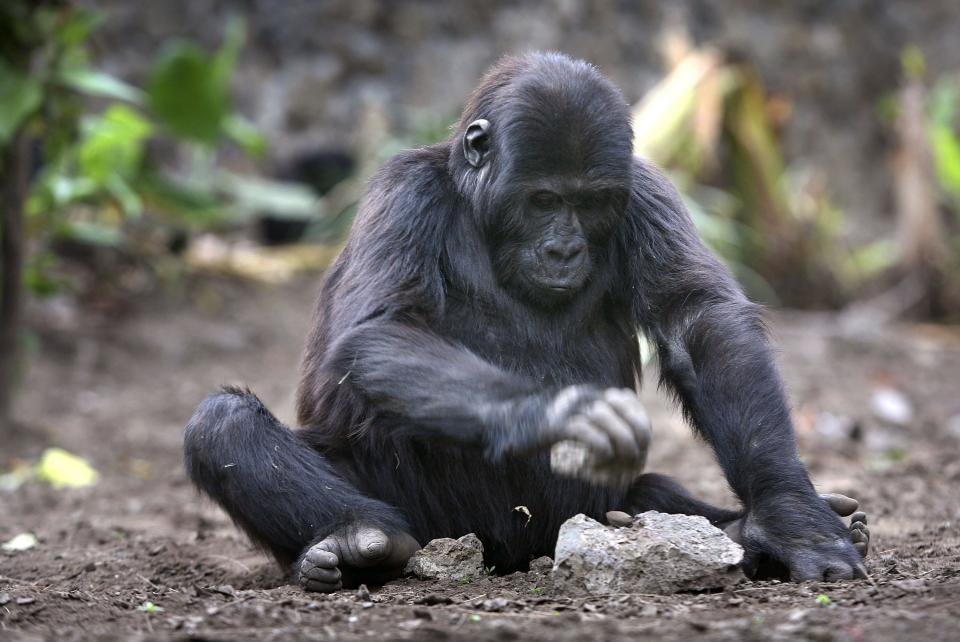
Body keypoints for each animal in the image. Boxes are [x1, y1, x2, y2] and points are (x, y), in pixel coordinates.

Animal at [186, 51, 872, 592]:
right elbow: (378, 330)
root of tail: (512, 556)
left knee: (641, 496)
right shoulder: (402, 192)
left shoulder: (647, 193)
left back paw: (734, 529)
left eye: (590, 203)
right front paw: (559, 413)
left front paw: (787, 513)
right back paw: (354, 543)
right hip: (433, 522)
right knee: (224, 427)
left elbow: (700, 325)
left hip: (576, 514)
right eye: (543, 200)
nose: (564, 249)